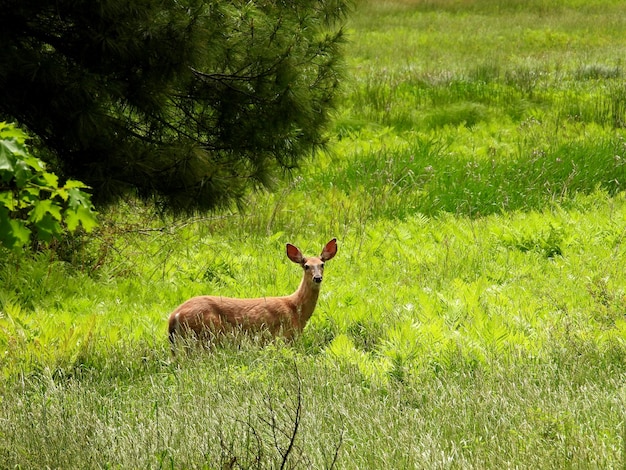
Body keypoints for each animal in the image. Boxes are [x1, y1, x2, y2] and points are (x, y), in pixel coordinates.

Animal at [167, 237, 336, 346]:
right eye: (306, 266)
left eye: (322, 264)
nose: (317, 278)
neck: (295, 309)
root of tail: (174, 315)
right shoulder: (283, 336)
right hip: (204, 334)